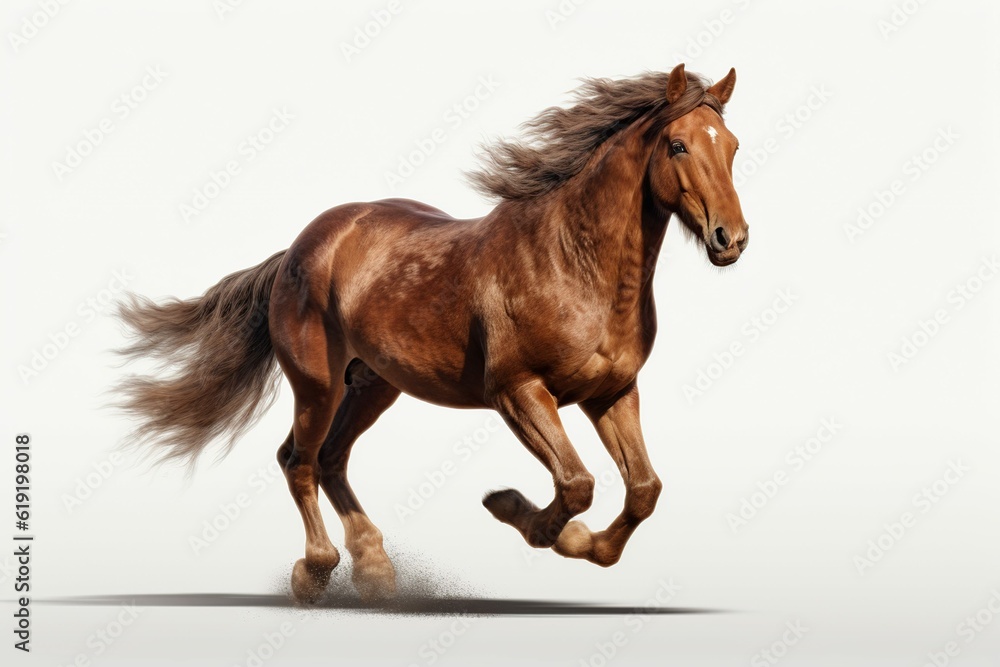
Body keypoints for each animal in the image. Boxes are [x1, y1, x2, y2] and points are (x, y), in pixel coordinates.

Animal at [115, 63, 749, 603]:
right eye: (678, 145)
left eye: (733, 146)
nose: (731, 238)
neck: (574, 264)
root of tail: (298, 248)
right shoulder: (518, 391)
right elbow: (576, 483)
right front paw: (512, 509)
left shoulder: (611, 393)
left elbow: (643, 490)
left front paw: (580, 541)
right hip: (318, 385)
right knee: (298, 459)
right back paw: (316, 572)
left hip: (374, 385)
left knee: (330, 458)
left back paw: (374, 569)